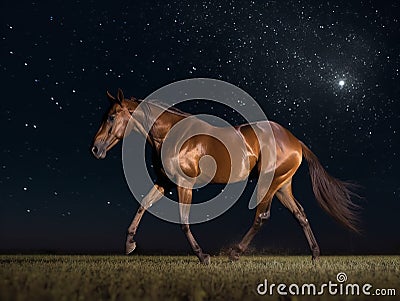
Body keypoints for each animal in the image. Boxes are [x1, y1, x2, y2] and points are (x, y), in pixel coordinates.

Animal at [91, 88, 360, 264]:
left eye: (112, 116)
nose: (95, 149)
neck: (172, 134)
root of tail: (295, 142)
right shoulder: (164, 182)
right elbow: (143, 205)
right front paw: (129, 244)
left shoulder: (185, 184)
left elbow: (184, 221)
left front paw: (202, 256)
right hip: (283, 185)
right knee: (300, 215)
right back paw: (315, 254)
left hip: (270, 183)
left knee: (261, 216)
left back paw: (235, 252)